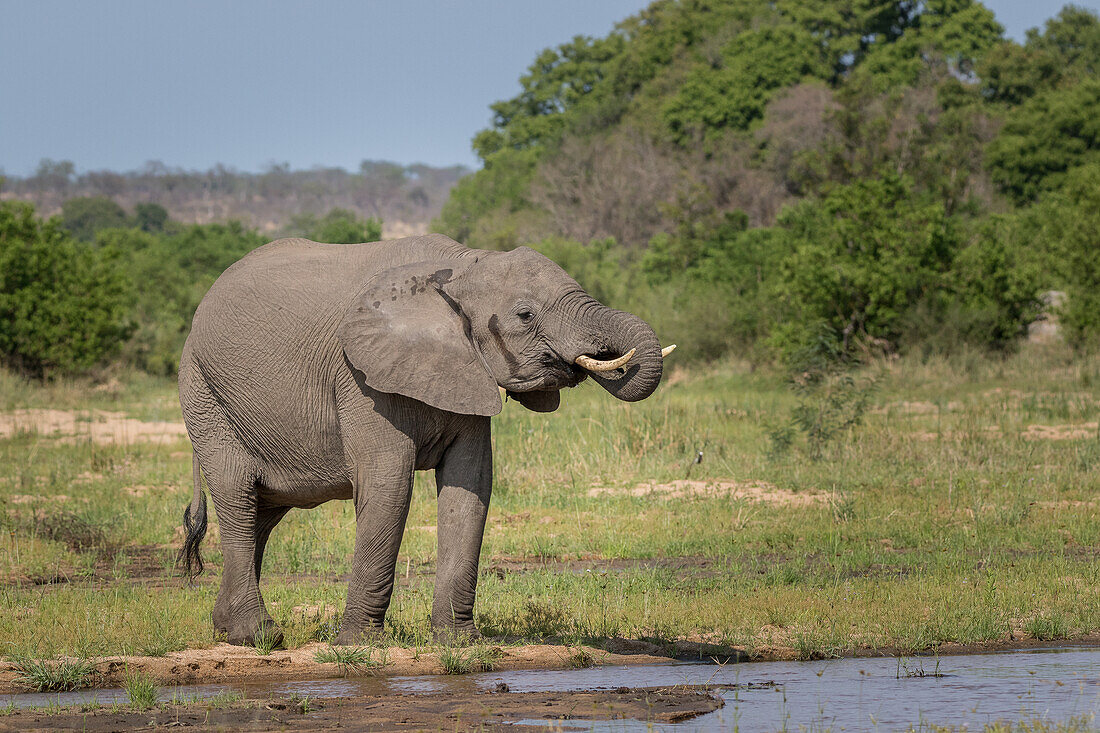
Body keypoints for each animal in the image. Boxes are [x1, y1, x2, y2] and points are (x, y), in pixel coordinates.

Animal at [178, 231, 668, 642]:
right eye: (525, 315)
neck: (463, 265)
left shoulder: (468, 370)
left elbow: (470, 487)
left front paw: (461, 643)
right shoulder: (360, 377)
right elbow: (389, 487)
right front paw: (361, 644)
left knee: (263, 512)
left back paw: (226, 628)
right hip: (203, 393)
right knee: (238, 496)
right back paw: (258, 637)